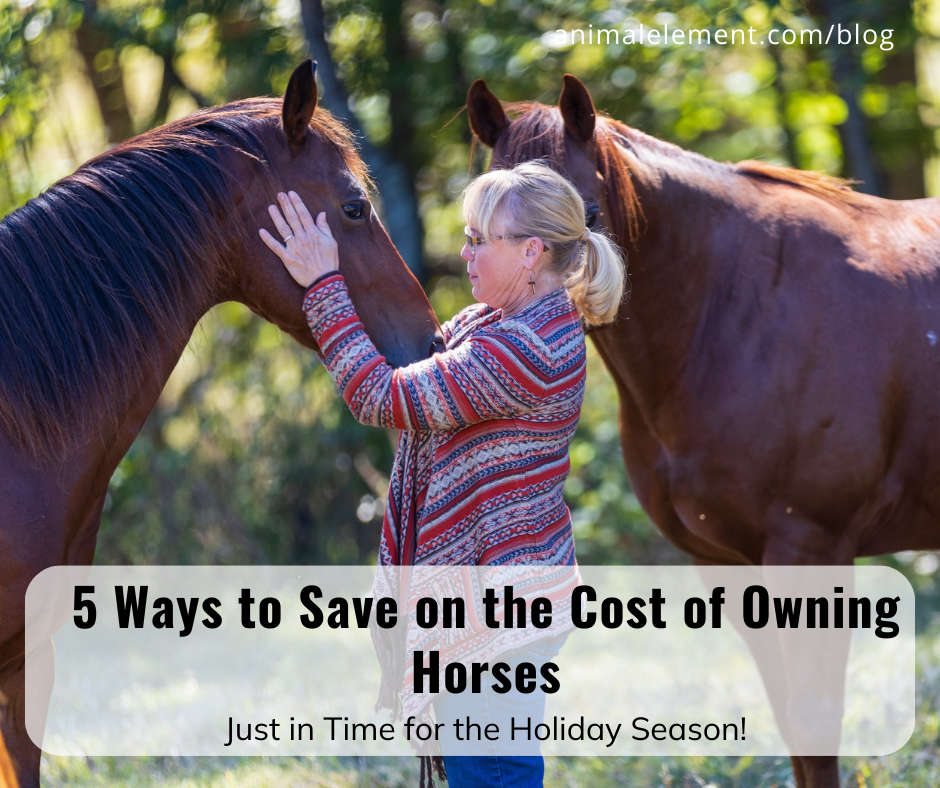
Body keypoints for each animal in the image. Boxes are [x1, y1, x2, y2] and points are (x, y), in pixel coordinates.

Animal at [466, 74, 940, 788]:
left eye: (589, 215)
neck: (732, 309)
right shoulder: (726, 563)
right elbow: (793, 724)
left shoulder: (811, 549)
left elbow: (815, 717)